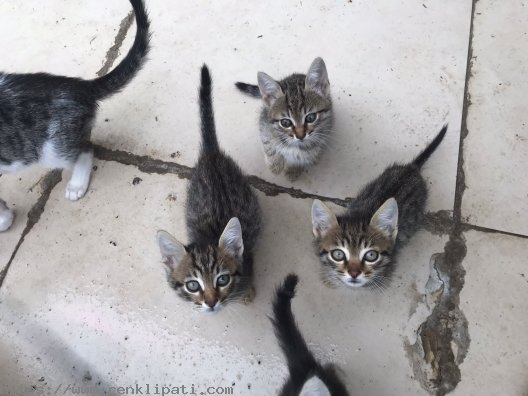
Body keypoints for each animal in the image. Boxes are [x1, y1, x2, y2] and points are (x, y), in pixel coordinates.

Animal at [158, 65, 262, 314]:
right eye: (193, 285)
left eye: (222, 279)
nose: (212, 302)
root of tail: (211, 154)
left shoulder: (249, 260)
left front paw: (248, 293)